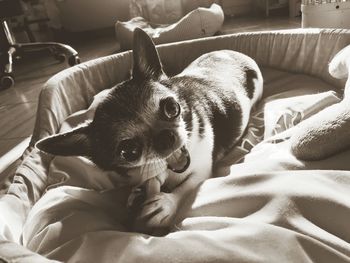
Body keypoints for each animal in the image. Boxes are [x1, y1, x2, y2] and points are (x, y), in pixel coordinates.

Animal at [37, 28, 264, 233]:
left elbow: (185, 188)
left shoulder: (202, 171)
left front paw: (166, 203)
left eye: (172, 108)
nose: (165, 137)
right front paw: (138, 192)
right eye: (129, 152)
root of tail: (235, 53)